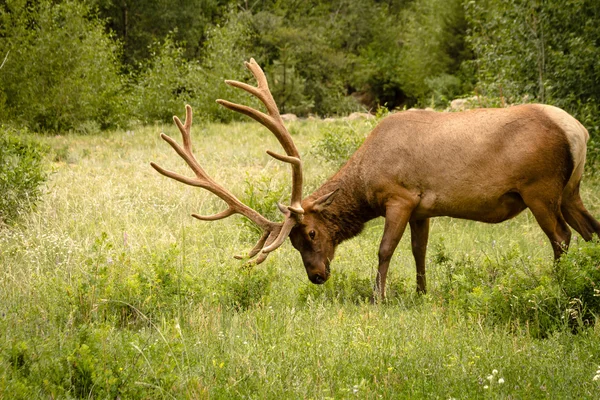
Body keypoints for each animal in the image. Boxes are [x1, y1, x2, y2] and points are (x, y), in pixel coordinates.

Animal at [151, 57, 600, 298]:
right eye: (293, 242)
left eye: (310, 233)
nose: (317, 276)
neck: (365, 180)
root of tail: (577, 129)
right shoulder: (424, 209)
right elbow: (419, 253)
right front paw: (421, 293)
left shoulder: (400, 197)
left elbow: (384, 250)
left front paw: (378, 297)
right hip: (570, 191)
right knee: (591, 230)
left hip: (540, 190)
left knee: (562, 238)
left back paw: (559, 285)